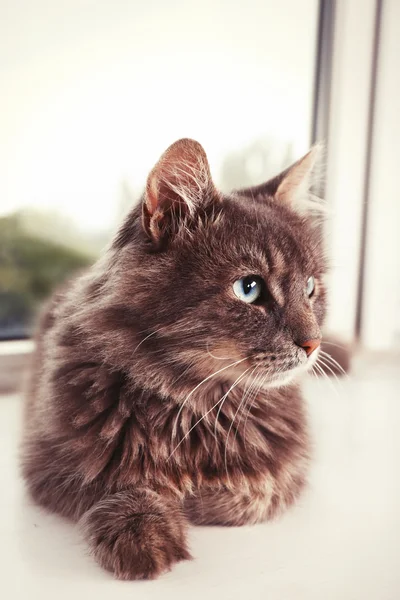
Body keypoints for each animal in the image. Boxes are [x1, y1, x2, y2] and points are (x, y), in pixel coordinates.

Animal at [20, 138, 326, 580]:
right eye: (249, 288)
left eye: (310, 288)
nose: (314, 344)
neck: (196, 405)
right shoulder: (52, 465)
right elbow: (120, 484)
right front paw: (144, 532)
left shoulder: (290, 470)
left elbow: (252, 493)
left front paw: (197, 499)